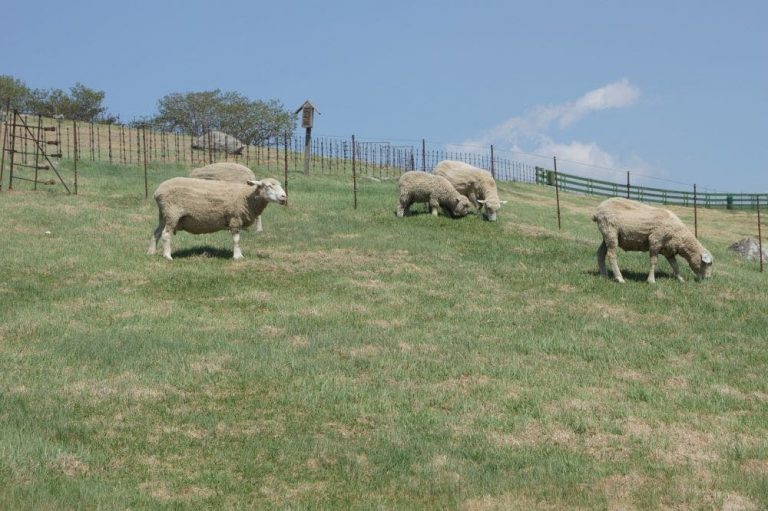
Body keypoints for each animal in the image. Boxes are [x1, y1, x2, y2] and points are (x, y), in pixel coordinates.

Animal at [146, 178, 284, 262]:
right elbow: (236, 240)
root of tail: (157, 192)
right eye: (268, 186)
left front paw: (239, 255)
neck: (247, 197)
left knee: (156, 233)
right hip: (172, 214)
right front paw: (238, 256)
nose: (284, 197)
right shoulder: (234, 218)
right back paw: (167, 256)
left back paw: (151, 252)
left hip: (163, 215)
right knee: (165, 234)